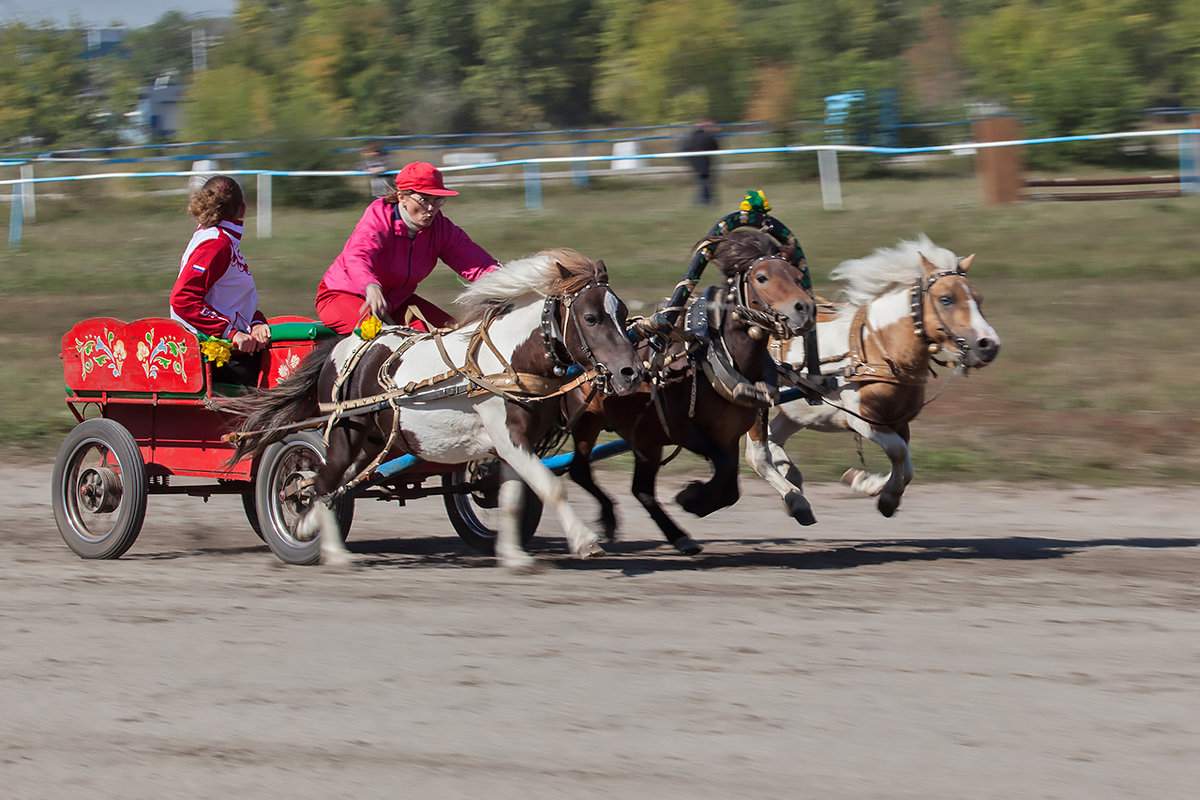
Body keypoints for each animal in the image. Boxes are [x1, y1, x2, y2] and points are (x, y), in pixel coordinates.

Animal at [564, 227, 816, 554]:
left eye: (797, 277)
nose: (805, 309)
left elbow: (731, 484)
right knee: (581, 471)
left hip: (644, 439)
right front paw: (692, 498)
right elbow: (726, 478)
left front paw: (695, 499)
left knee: (639, 489)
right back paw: (613, 520)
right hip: (589, 420)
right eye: (762, 277)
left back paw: (676, 535)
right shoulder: (687, 432)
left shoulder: (728, 435)